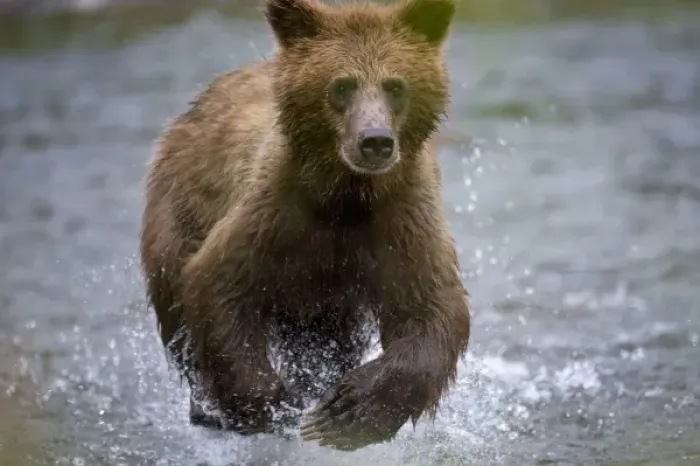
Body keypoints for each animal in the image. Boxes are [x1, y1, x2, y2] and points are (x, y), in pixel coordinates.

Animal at [139, 0, 470, 452]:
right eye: (342, 85)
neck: (345, 197)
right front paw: (276, 405)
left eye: (395, 85)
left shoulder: (401, 218)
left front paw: (346, 412)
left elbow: (430, 310)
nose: (375, 141)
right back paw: (209, 410)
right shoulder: (273, 212)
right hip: (179, 209)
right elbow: (220, 284)